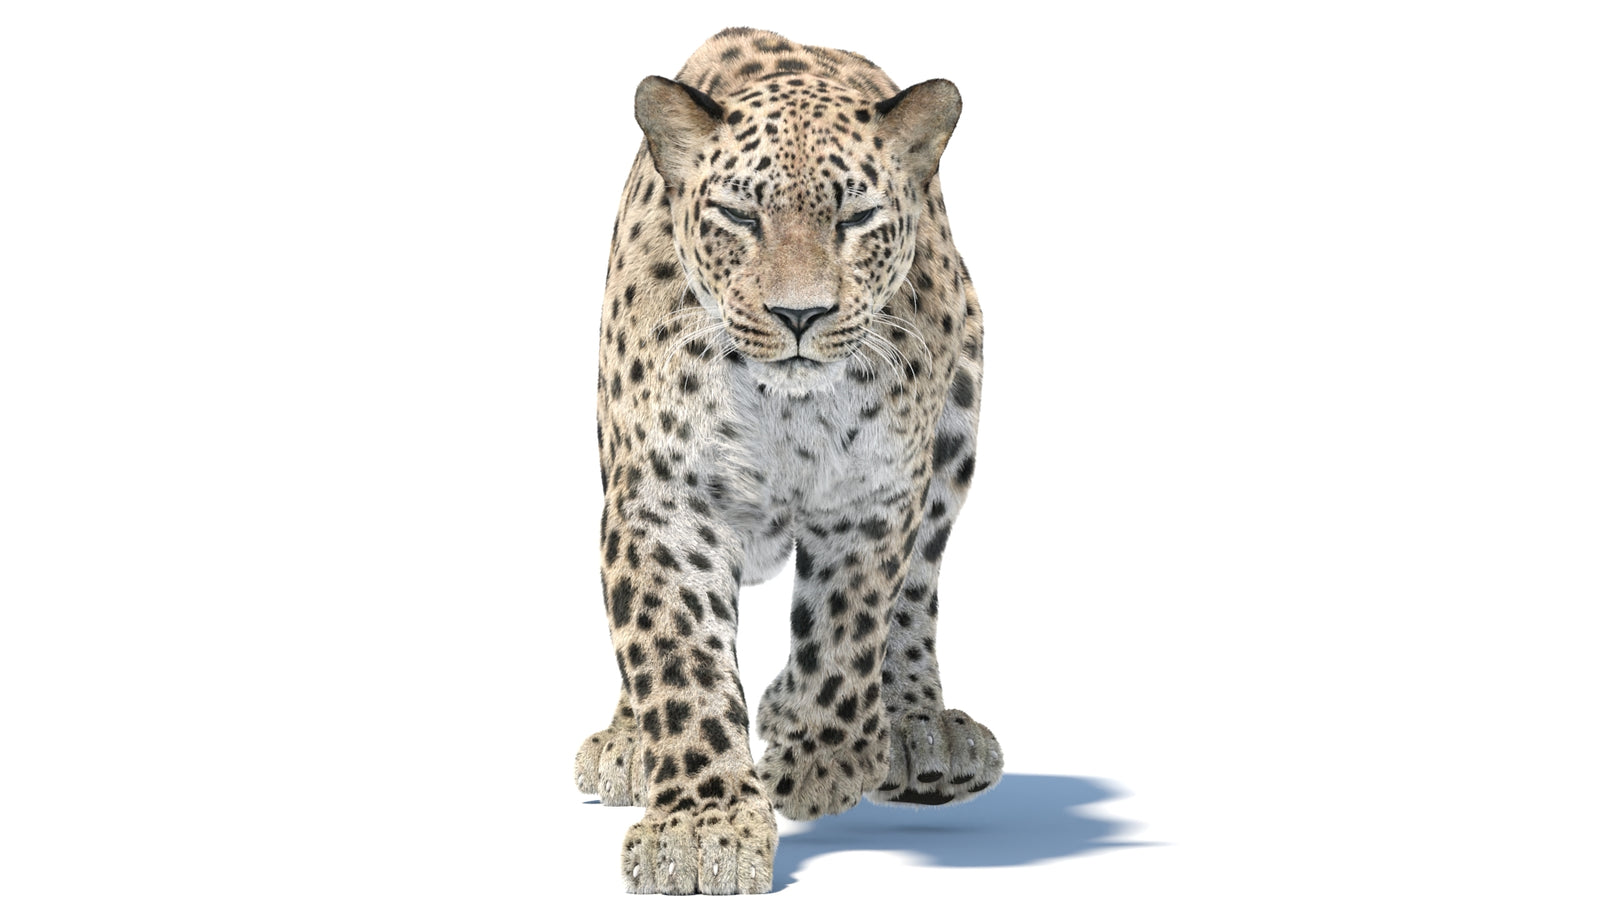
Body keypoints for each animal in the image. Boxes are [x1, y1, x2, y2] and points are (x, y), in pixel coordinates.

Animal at [572, 27, 1002, 894]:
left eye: (857, 217)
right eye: (740, 215)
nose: (799, 314)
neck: (788, 407)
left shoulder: (879, 495)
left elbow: (848, 629)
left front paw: (818, 762)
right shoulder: (665, 501)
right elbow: (677, 658)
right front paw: (701, 830)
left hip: (956, 436)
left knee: (914, 600)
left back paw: (919, 732)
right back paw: (628, 743)